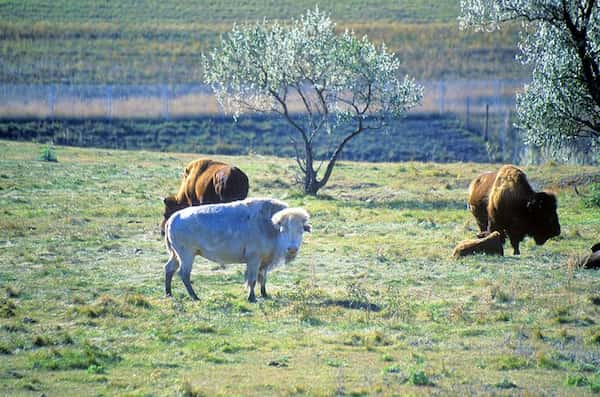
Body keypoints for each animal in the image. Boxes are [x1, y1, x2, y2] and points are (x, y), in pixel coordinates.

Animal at [165, 198, 314, 300]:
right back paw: (195, 297)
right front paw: (252, 298)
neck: (269, 225)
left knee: (169, 268)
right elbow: (252, 279)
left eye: (301, 230)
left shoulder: (264, 262)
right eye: (284, 230)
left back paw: (169, 294)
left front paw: (265, 294)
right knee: (184, 274)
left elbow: (263, 278)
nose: (292, 249)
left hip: (176, 255)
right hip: (187, 255)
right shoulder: (254, 260)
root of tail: (172, 218)